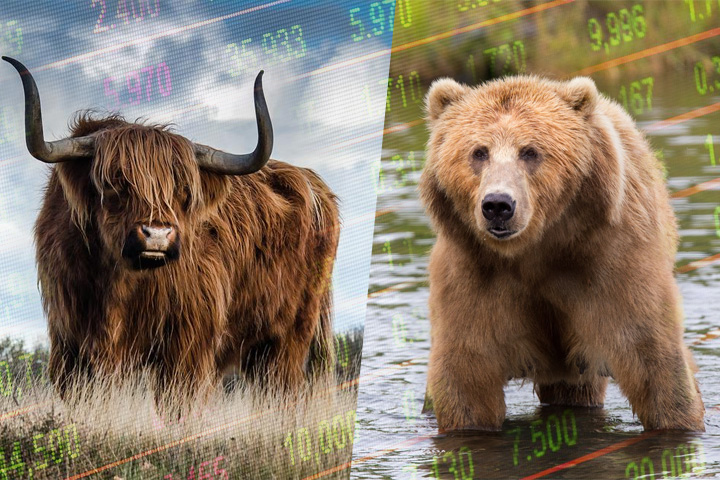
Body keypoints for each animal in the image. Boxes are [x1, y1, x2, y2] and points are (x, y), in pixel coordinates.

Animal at [2, 56, 340, 404]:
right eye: (114, 182)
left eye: (183, 190)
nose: (157, 235)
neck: (118, 284)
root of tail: (314, 183)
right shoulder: (70, 342)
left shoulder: (188, 344)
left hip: (290, 336)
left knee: (284, 389)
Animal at [418, 75, 705, 432]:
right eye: (479, 152)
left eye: (530, 151)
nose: (498, 205)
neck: (535, 250)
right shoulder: (473, 274)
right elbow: (466, 374)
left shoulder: (611, 260)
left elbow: (652, 355)